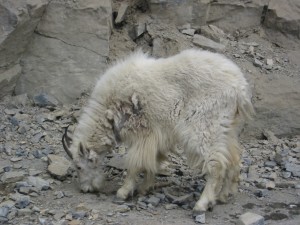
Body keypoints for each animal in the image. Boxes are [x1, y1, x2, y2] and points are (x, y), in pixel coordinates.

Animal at [62, 48, 254, 212]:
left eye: (79, 166)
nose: (85, 190)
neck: (110, 110)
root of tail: (240, 89)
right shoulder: (157, 135)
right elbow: (153, 160)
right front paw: (145, 187)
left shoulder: (142, 133)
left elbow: (135, 163)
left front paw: (123, 191)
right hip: (226, 129)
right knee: (234, 159)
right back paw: (223, 196)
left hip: (203, 127)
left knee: (216, 164)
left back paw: (202, 203)